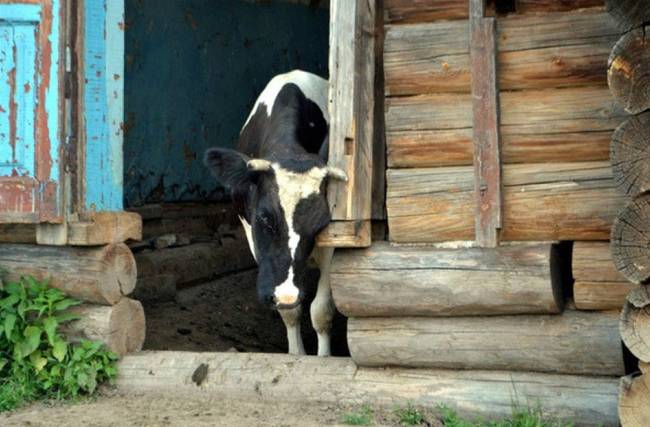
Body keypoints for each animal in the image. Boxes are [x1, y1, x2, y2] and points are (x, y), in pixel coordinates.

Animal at [204, 71, 346, 358]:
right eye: (264, 217)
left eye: (319, 225)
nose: (287, 294)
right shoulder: (253, 237)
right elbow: (290, 313)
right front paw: (297, 355)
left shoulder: (331, 242)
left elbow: (321, 310)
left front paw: (324, 360)